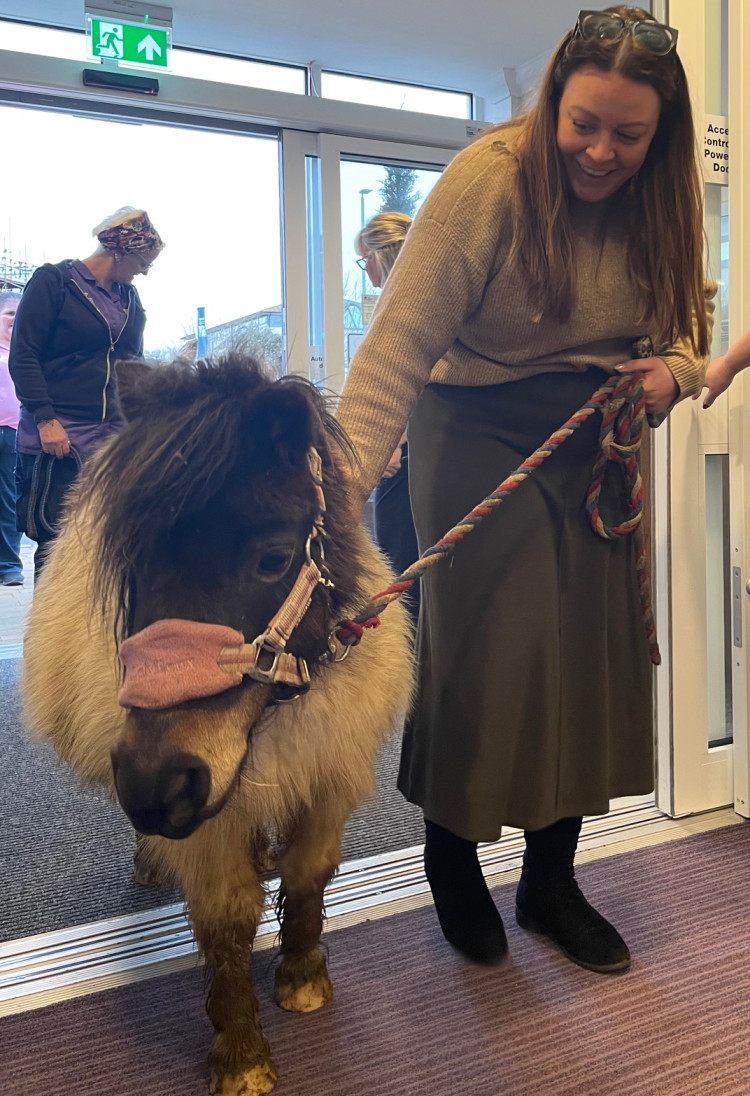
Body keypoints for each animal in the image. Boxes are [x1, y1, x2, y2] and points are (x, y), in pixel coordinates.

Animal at [21, 353, 413, 1096]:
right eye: (129, 561)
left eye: (274, 557)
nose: (155, 787)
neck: (274, 714)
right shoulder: (208, 822)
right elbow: (227, 918)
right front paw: (242, 1058)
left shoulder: (326, 776)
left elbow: (309, 873)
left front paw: (303, 980)